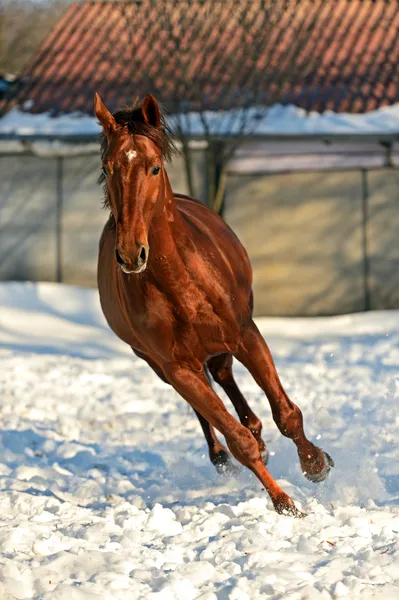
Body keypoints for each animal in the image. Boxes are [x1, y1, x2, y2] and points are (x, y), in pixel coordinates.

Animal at [94, 92, 334, 516]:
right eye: (108, 169)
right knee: (211, 400)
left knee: (224, 376)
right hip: (159, 364)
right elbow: (235, 438)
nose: (130, 253)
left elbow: (286, 415)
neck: (178, 283)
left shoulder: (246, 334)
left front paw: (315, 464)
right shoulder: (177, 367)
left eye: (154, 167)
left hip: (223, 346)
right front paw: (284, 502)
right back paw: (228, 453)